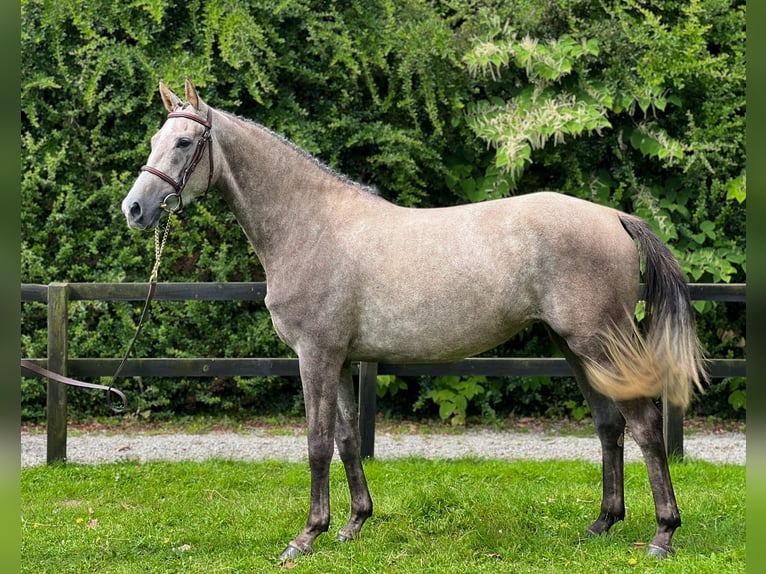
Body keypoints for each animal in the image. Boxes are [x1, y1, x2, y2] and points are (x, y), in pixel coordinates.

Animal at [121, 79, 706, 561]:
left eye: (183, 143)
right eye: (154, 138)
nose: (134, 209)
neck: (311, 225)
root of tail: (614, 216)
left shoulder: (316, 355)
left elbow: (316, 442)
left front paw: (306, 537)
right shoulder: (340, 360)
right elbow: (347, 438)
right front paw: (352, 525)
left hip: (601, 341)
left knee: (645, 425)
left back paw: (663, 534)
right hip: (576, 348)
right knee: (610, 425)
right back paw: (602, 524)